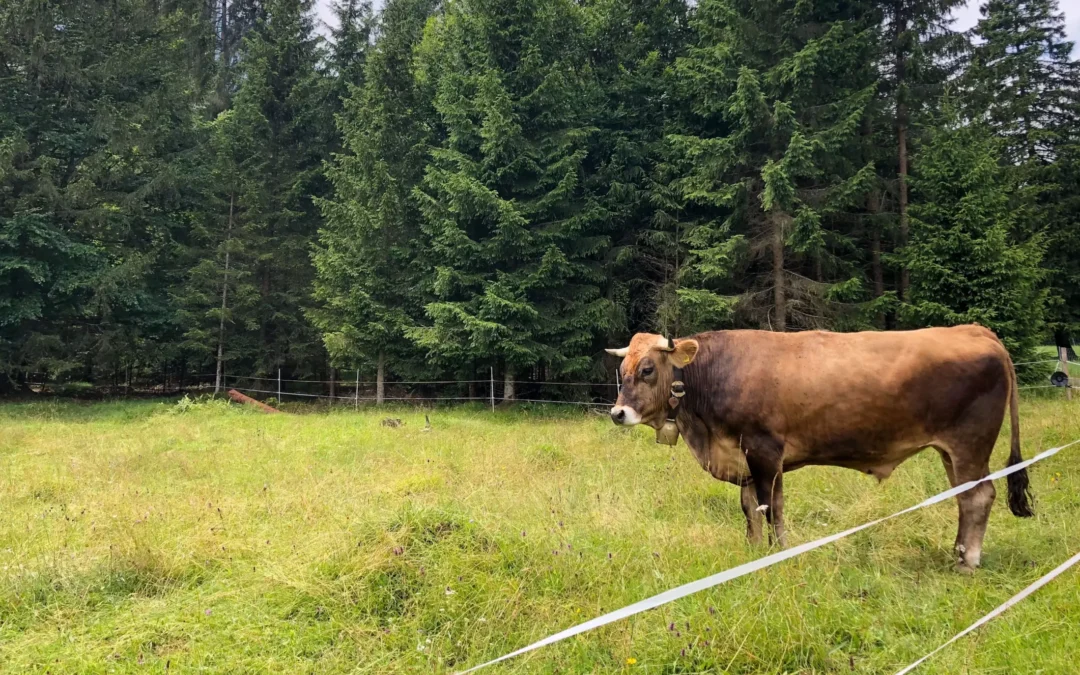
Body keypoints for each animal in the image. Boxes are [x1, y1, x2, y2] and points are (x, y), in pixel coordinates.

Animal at [606, 325, 1033, 572]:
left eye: (647, 369)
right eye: (621, 371)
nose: (617, 413)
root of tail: (977, 331)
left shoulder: (764, 450)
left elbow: (769, 508)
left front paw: (775, 555)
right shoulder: (747, 457)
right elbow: (750, 508)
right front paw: (753, 551)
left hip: (970, 443)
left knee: (978, 497)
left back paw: (966, 561)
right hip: (951, 451)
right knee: (965, 497)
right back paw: (958, 552)